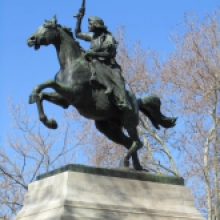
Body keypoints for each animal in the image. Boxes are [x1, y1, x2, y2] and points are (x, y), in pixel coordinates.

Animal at [26, 16, 176, 170]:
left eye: (46, 27)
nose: (30, 39)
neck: (70, 64)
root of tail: (137, 101)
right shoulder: (65, 100)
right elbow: (42, 95)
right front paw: (48, 121)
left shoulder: (74, 93)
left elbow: (48, 82)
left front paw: (40, 106)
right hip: (109, 129)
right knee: (130, 143)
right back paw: (135, 168)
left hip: (128, 121)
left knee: (137, 143)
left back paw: (125, 162)